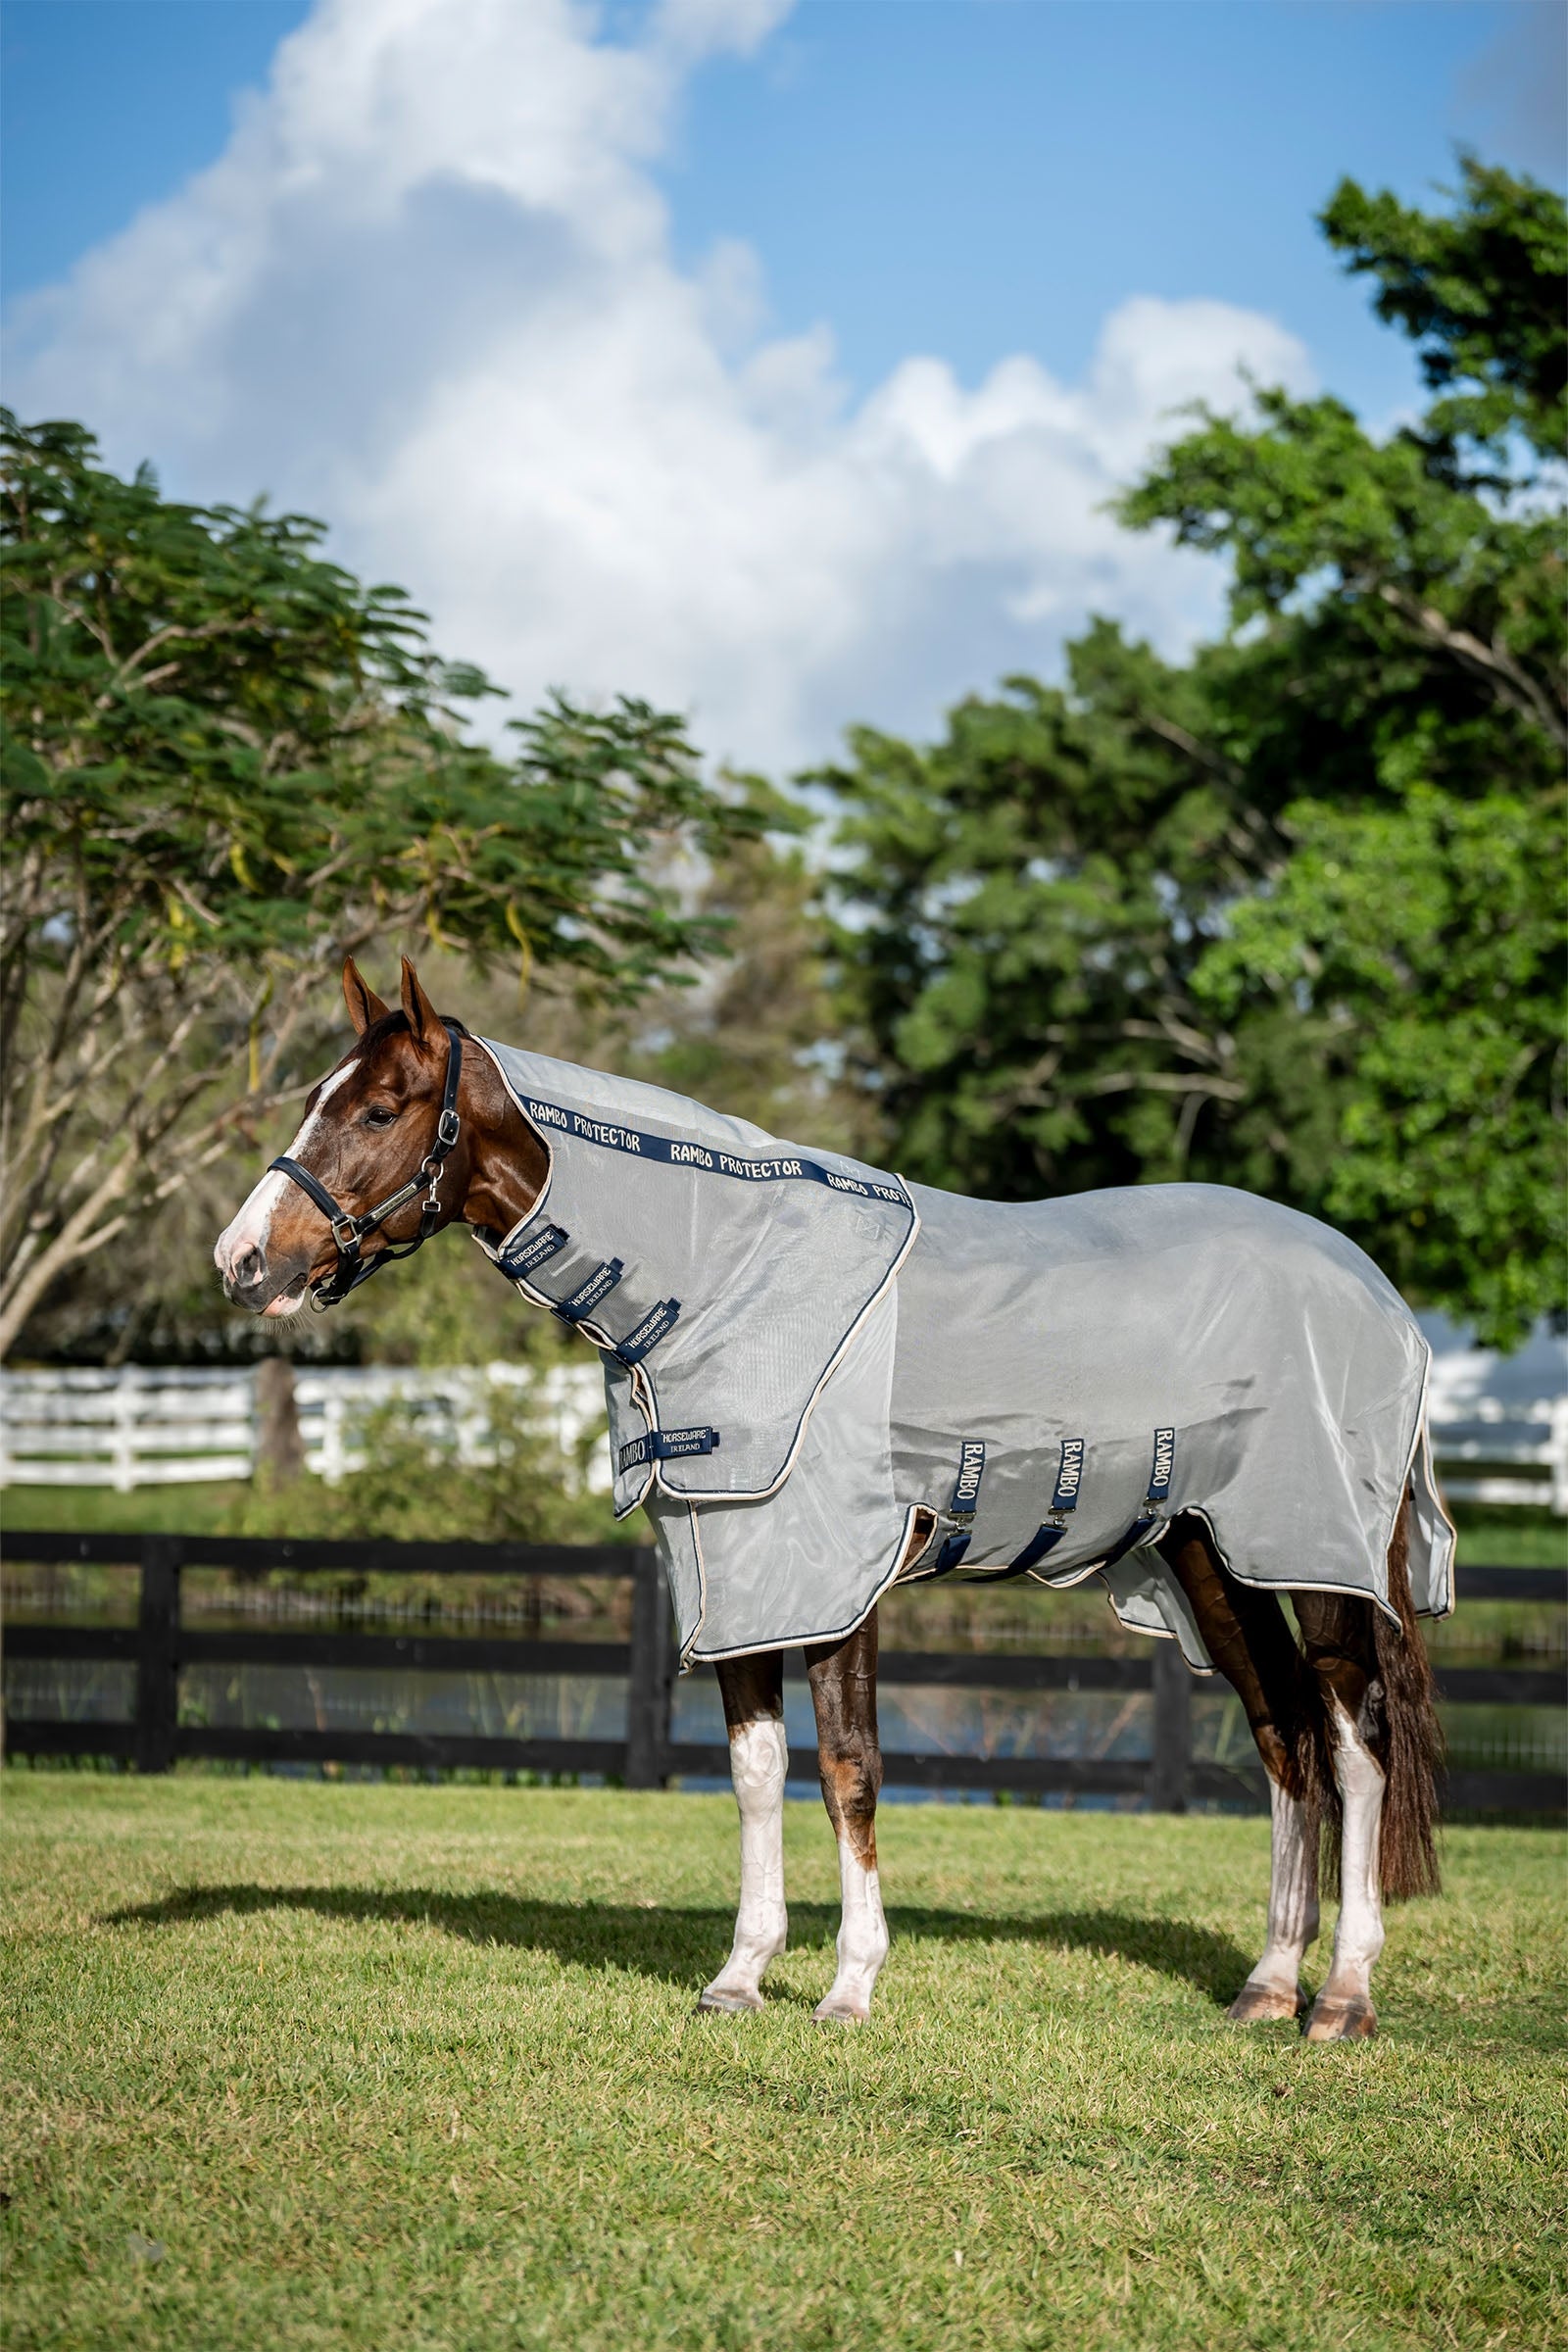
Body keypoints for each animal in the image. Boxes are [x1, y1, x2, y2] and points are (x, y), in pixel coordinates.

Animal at [215, 956, 1450, 2039]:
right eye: (322, 1098)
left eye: (379, 1109)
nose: (241, 1261)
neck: (725, 1278)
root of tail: (1381, 1297)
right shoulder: (736, 1573)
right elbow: (757, 1771)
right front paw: (739, 1977)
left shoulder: (838, 1581)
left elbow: (850, 1771)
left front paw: (850, 1988)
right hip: (1211, 1558)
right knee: (1283, 1736)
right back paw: (1267, 1986)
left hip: (1318, 1562)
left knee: (1354, 1746)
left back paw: (1341, 1998)